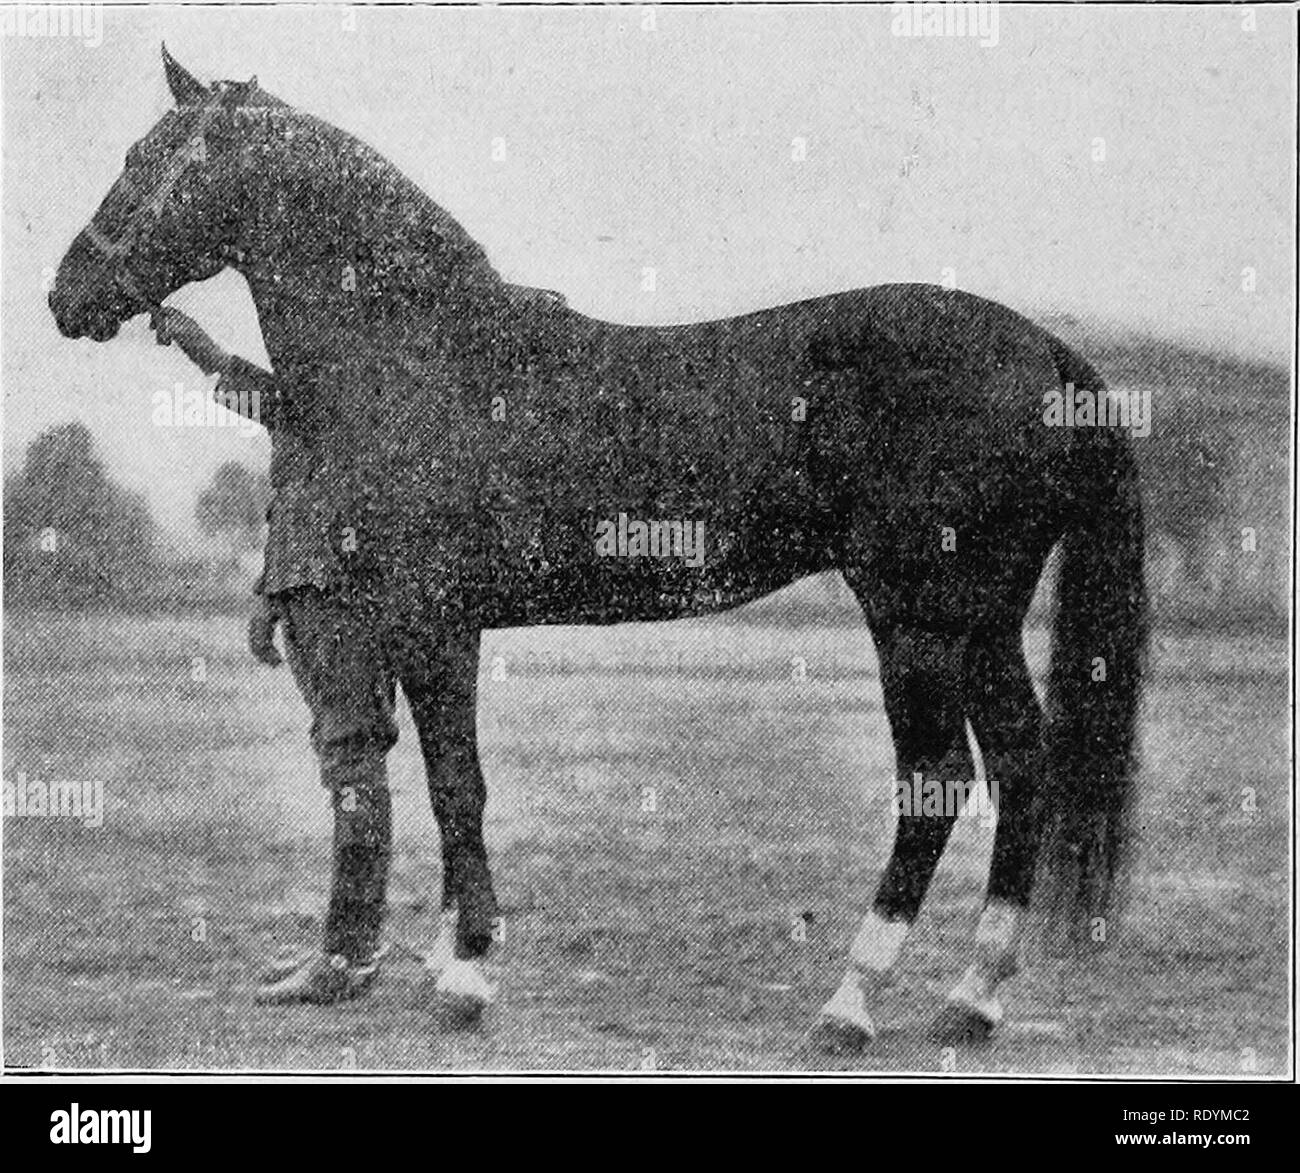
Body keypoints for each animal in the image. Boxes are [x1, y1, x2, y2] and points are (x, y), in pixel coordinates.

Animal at [53, 50, 1149, 1050]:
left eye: (148, 159)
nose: (66, 294)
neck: (427, 355)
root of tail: (1048, 352)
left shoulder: (436, 619)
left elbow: (457, 781)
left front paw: (466, 978)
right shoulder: (420, 622)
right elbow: (443, 779)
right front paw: (449, 960)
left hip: (915, 617)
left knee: (937, 778)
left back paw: (850, 1002)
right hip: (983, 622)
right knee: (1023, 764)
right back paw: (972, 998)